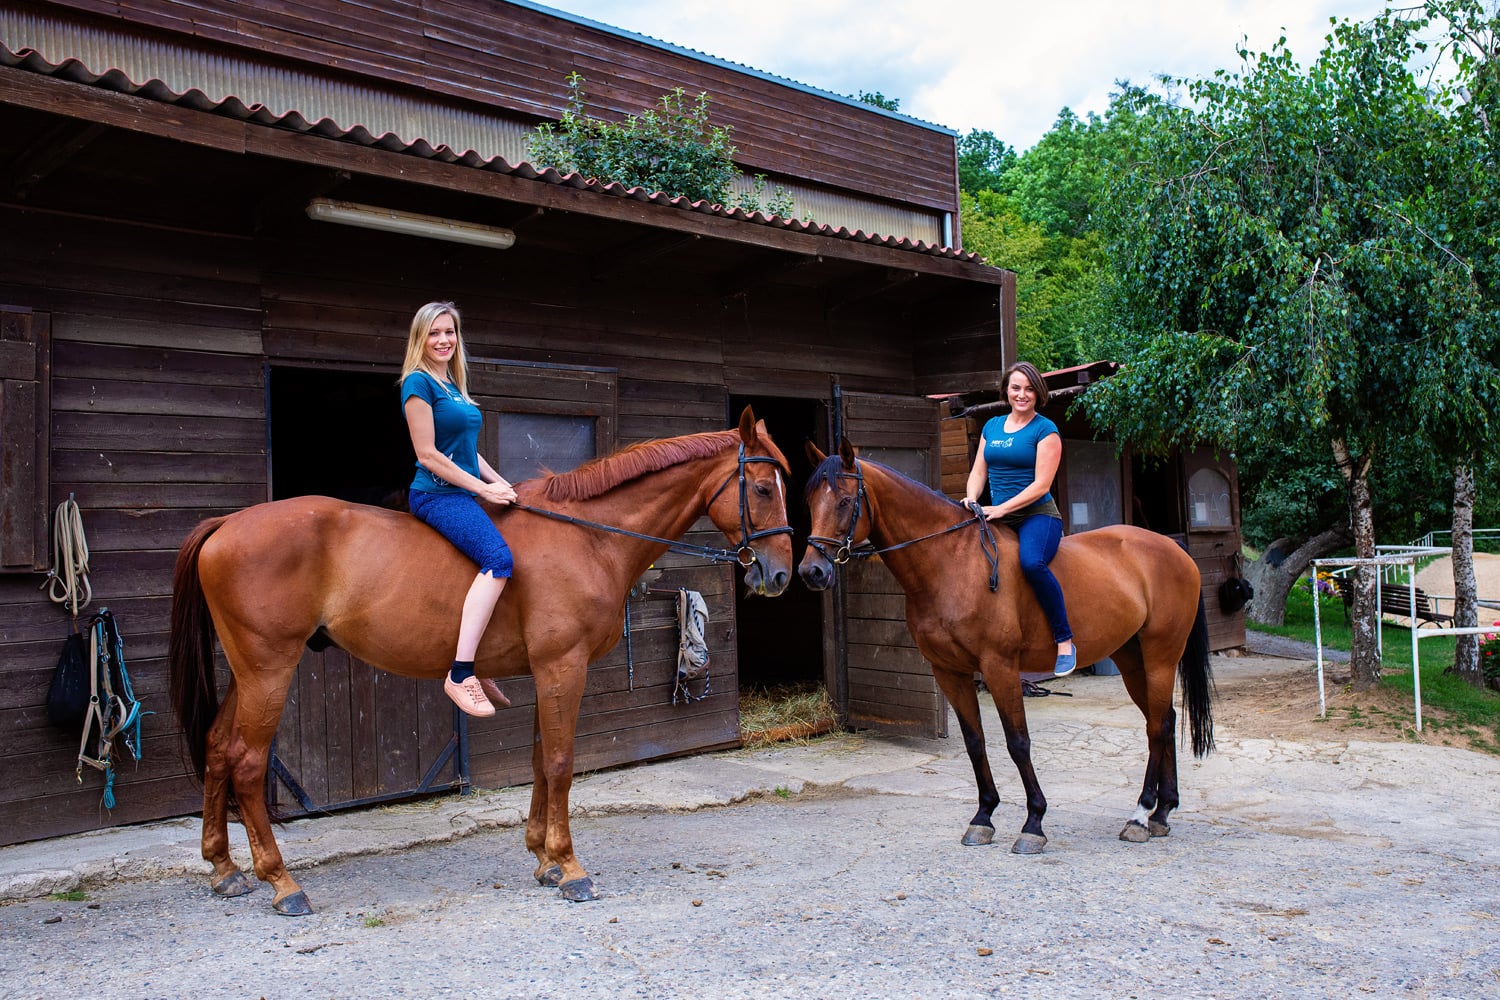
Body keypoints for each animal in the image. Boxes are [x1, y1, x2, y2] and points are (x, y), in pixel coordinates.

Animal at [170, 407, 798, 917]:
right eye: (763, 488)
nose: (779, 574)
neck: (587, 539)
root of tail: (228, 524)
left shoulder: (551, 671)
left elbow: (542, 759)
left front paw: (544, 859)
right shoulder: (563, 666)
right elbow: (562, 763)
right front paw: (571, 869)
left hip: (248, 672)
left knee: (218, 748)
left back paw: (225, 870)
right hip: (269, 670)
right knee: (248, 762)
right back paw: (282, 883)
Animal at [804, 440, 1212, 857]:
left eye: (844, 501)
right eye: (809, 500)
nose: (812, 572)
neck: (951, 562)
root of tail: (1172, 547)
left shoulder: (999, 667)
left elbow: (1018, 743)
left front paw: (1034, 823)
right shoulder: (948, 672)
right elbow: (975, 742)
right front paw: (983, 817)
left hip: (1161, 656)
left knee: (1156, 726)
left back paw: (1140, 816)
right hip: (1131, 659)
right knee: (1163, 721)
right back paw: (1162, 813)